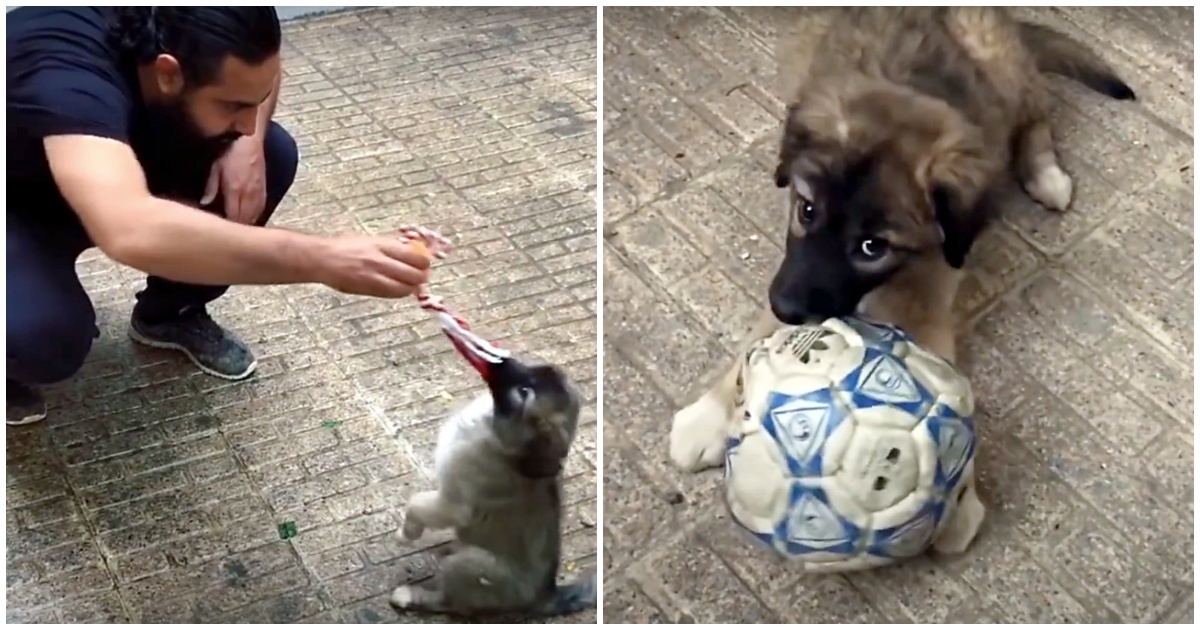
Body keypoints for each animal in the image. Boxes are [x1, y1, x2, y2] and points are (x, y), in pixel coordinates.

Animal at [388, 355, 595, 614]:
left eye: (524, 392)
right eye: (533, 367)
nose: (500, 360)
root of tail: (546, 595)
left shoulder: (453, 504)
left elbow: (414, 503)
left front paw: (406, 533)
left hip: (466, 566)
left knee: (451, 603)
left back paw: (411, 596)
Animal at [676, 7, 1132, 480]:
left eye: (872, 248)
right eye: (806, 210)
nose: (786, 307)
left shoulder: (931, 282)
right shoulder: (793, 271)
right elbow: (757, 339)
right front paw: (709, 416)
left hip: (999, 64)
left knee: (1035, 110)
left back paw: (1046, 173)